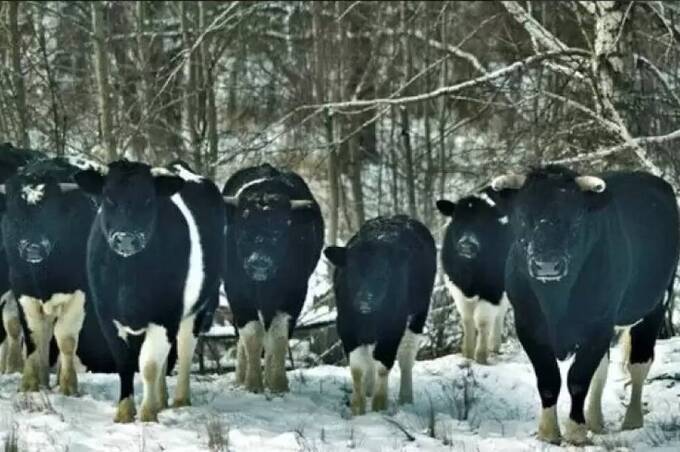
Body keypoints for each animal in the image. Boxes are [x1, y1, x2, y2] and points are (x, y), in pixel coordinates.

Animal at [74, 160, 223, 424]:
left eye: (148, 199)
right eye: (108, 197)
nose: (125, 239)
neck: (129, 278)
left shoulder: (165, 314)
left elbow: (149, 364)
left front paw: (146, 413)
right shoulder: (107, 316)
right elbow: (125, 363)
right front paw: (125, 412)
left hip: (196, 309)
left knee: (184, 349)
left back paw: (179, 399)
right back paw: (161, 400)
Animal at [220, 164, 322, 394]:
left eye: (279, 230)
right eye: (243, 228)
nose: (259, 262)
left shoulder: (295, 292)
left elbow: (278, 336)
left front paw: (277, 384)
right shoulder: (236, 291)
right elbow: (251, 334)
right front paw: (252, 383)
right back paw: (240, 376)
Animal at [324, 217, 436, 414]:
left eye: (384, 272)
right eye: (351, 271)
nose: (365, 299)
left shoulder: (392, 327)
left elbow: (384, 364)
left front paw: (379, 406)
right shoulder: (345, 325)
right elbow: (357, 367)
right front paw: (358, 407)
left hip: (418, 315)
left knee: (406, 357)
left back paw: (405, 397)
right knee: (370, 358)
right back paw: (369, 388)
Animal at [436, 187, 510, 364]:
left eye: (483, 222)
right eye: (457, 220)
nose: (466, 244)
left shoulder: (493, 289)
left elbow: (482, 320)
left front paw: (481, 356)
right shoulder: (456, 287)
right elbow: (467, 319)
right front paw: (467, 354)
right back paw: (494, 346)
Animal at [492, 167, 676, 444]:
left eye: (577, 219)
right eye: (522, 216)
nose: (547, 264)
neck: (555, 301)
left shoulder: (597, 325)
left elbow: (578, 379)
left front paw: (576, 432)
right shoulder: (527, 325)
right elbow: (548, 380)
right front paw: (548, 432)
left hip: (655, 305)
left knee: (638, 364)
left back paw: (632, 421)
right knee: (602, 371)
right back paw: (596, 421)